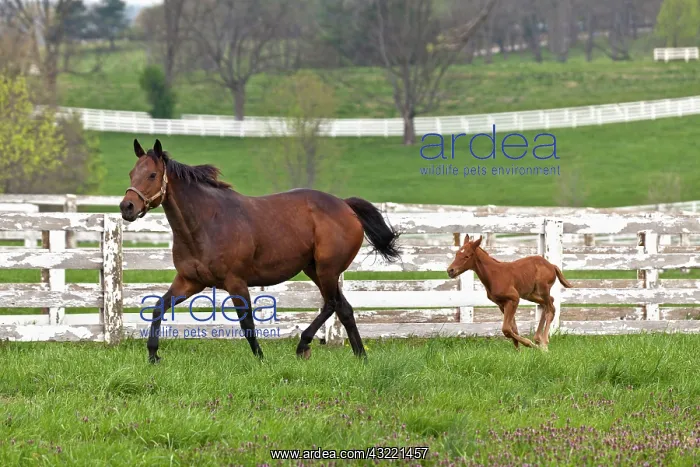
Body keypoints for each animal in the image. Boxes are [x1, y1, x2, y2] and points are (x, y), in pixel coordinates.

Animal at [119, 139, 401, 363]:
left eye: (152, 175)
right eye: (131, 173)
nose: (126, 207)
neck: (205, 224)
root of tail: (345, 205)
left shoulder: (235, 282)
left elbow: (247, 323)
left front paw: (260, 359)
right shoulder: (189, 281)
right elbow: (158, 307)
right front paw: (153, 355)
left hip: (327, 269)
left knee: (332, 304)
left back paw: (308, 346)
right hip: (314, 270)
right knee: (343, 308)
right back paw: (358, 355)